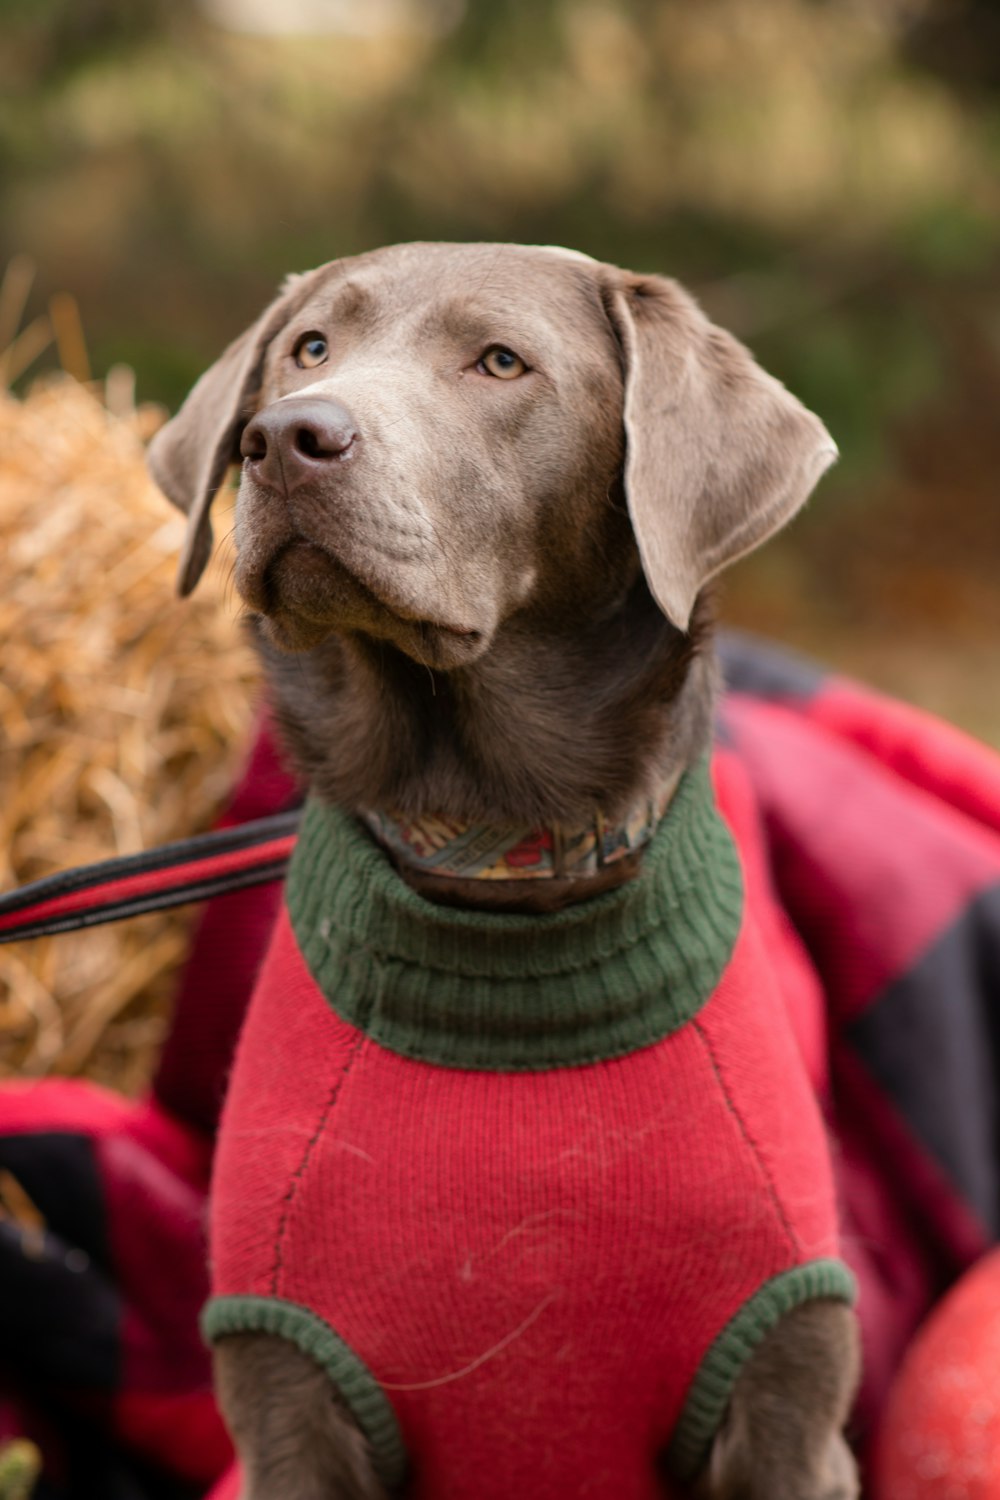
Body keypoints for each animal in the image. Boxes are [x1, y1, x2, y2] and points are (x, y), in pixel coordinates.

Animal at [148, 243, 863, 1500]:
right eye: (309, 348)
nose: (284, 436)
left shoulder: (789, 1406)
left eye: (499, 362)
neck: (499, 861)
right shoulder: (285, 1399)